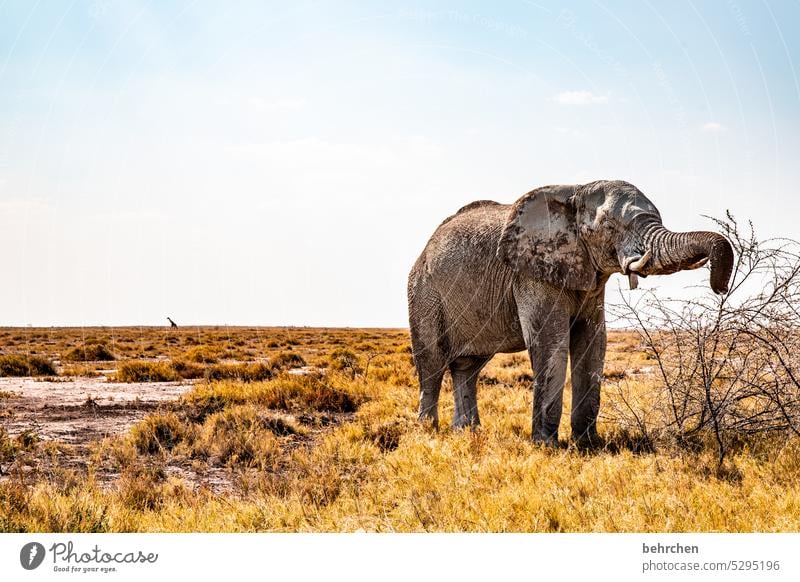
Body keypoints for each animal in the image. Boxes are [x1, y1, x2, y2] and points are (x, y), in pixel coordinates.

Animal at [410, 180, 736, 444]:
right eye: (610, 228)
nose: (720, 288)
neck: (577, 192)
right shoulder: (532, 271)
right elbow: (551, 342)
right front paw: (546, 446)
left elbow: (594, 342)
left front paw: (587, 443)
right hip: (424, 293)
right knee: (432, 363)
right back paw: (428, 431)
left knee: (468, 367)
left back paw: (467, 432)